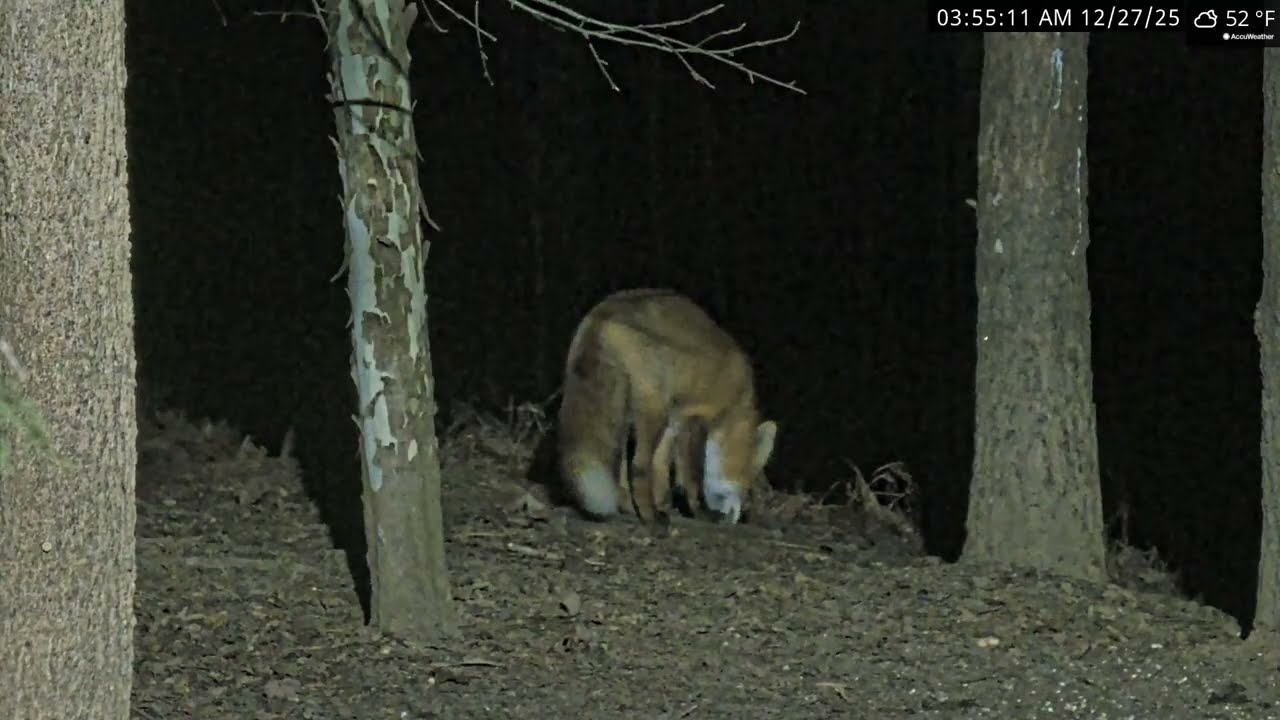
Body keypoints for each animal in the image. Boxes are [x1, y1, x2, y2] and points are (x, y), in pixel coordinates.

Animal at [557, 288, 777, 525]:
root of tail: (603, 314)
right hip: (654, 410)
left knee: (625, 470)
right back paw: (650, 517)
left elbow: (661, 471)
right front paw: (701, 512)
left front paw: (666, 506)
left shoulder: (675, 423)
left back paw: (633, 509)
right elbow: (693, 478)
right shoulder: (696, 416)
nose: (736, 517)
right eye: (747, 481)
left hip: (629, 415)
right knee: (638, 467)